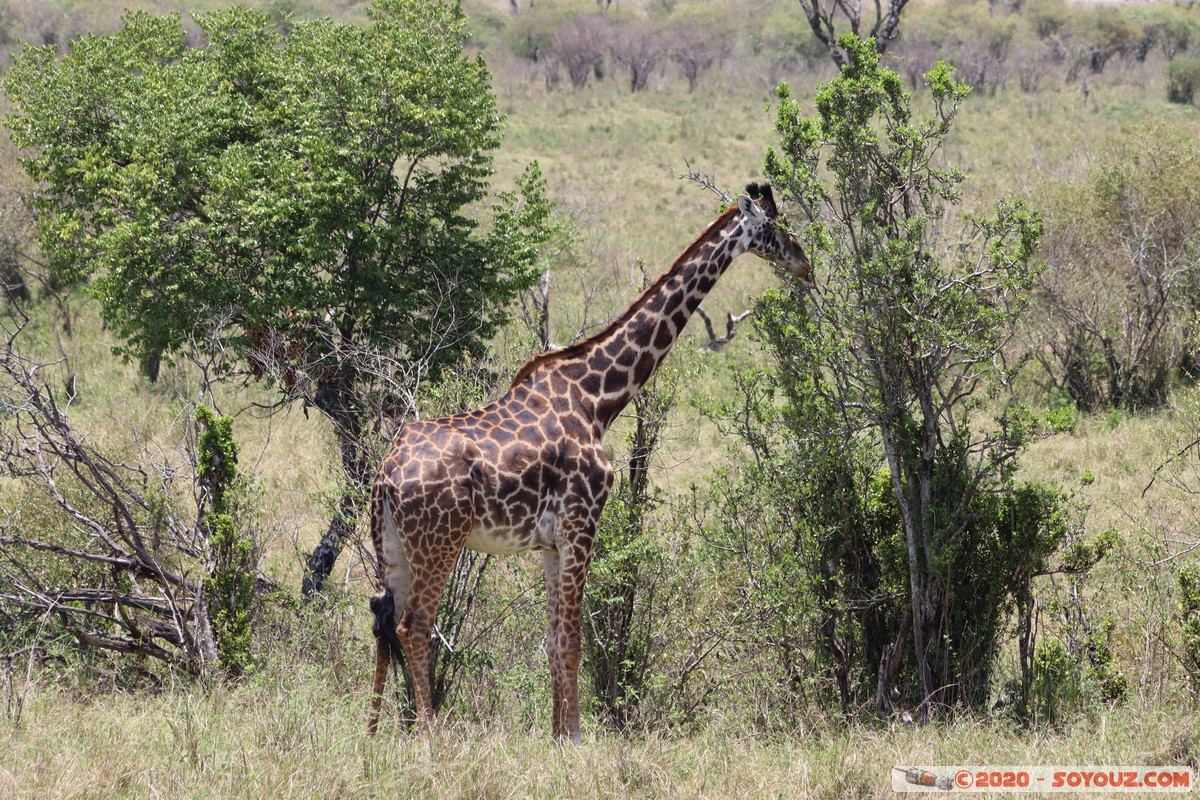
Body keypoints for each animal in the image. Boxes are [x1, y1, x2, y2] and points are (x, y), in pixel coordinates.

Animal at [366, 183, 811, 742]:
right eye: (773, 227)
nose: (804, 261)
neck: (596, 398)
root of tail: (385, 474)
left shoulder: (550, 542)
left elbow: (553, 639)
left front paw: (557, 734)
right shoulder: (582, 521)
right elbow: (574, 640)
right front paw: (576, 737)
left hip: (393, 545)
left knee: (383, 620)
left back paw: (372, 732)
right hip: (439, 541)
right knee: (414, 625)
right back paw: (430, 736)